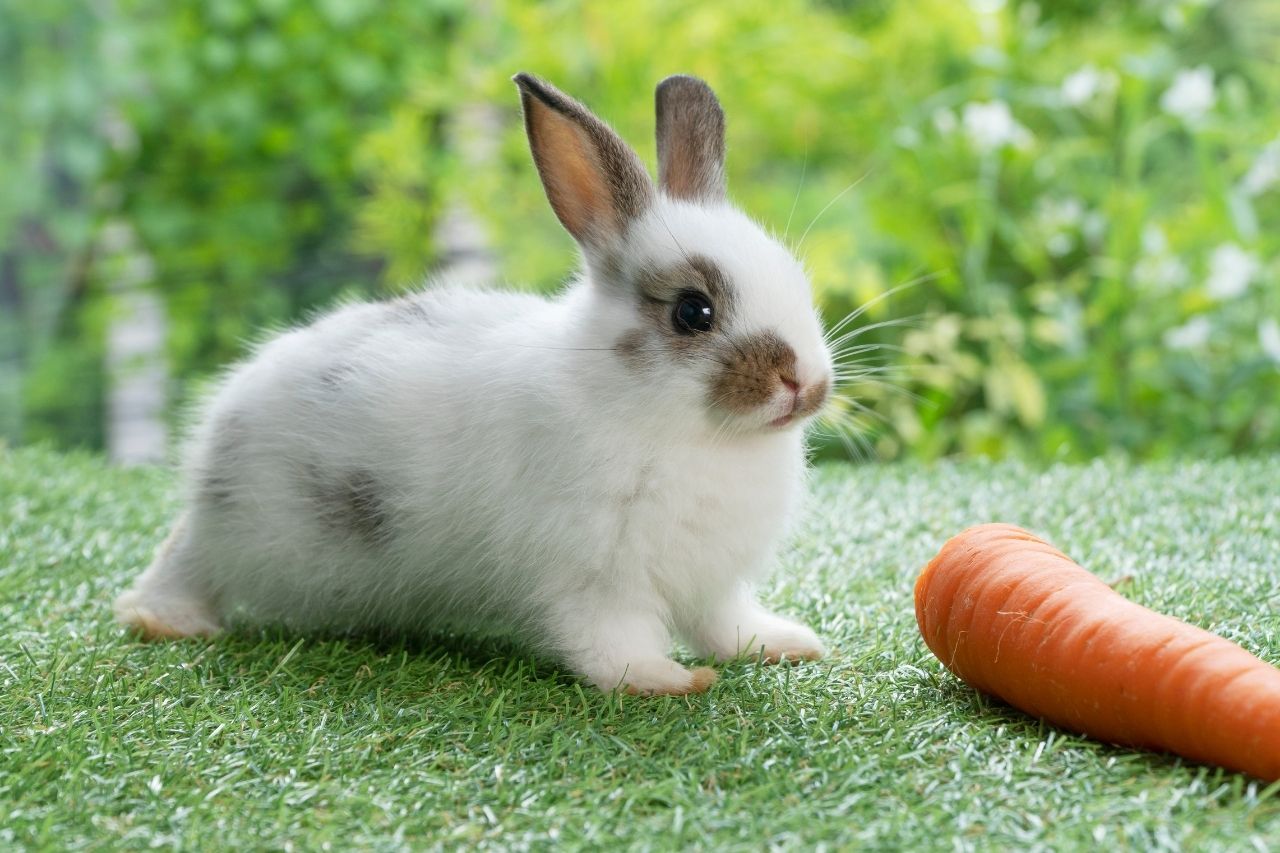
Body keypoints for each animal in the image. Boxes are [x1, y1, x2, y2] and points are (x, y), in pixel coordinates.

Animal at [113, 72, 835, 695]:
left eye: (795, 279)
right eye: (693, 312)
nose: (805, 383)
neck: (684, 429)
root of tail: (221, 428)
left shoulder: (711, 582)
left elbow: (724, 623)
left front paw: (784, 644)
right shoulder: (594, 578)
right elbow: (611, 641)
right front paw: (667, 681)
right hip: (245, 529)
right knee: (186, 558)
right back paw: (161, 619)